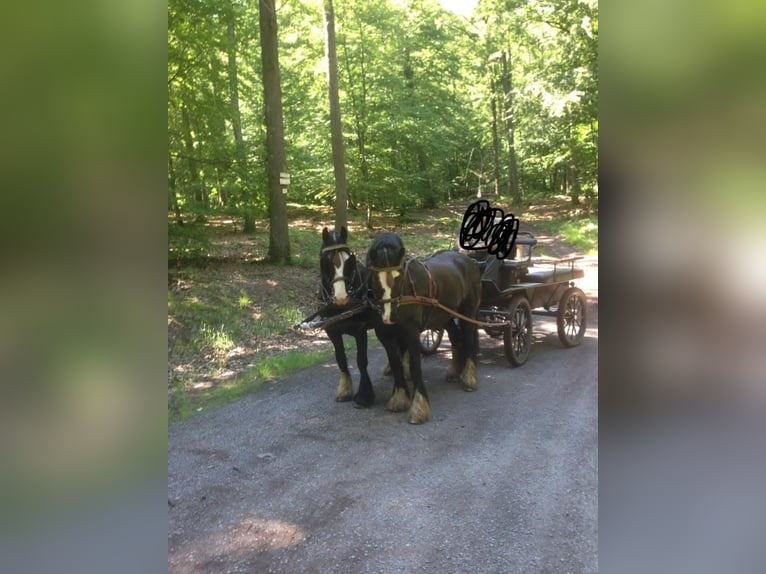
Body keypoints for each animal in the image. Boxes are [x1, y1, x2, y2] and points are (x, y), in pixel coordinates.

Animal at [366, 232, 482, 424]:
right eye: (375, 278)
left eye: (399, 277)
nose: (390, 317)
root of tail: (467, 260)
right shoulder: (385, 334)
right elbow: (396, 364)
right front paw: (399, 399)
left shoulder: (411, 333)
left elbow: (414, 367)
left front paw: (419, 408)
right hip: (445, 316)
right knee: (456, 338)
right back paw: (454, 372)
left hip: (468, 311)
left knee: (468, 339)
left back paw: (469, 379)